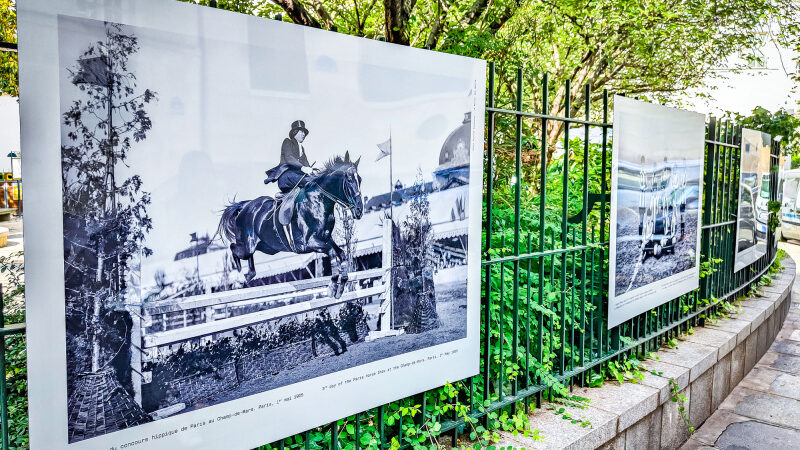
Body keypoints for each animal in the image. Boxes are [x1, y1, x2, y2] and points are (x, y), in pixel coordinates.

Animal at [220, 153, 368, 298]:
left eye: (360, 180)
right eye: (349, 180)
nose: (359, 210)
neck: (320, 200)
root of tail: (245, 206)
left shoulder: (326, 239)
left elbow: (341, 254)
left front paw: (341, 286)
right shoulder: (309, 243)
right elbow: (332, 253)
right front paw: (332, 287)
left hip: (267, 247)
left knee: (249, 266)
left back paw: (244, 279)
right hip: (248, 244)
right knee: (233, 248)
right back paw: (239, 280)